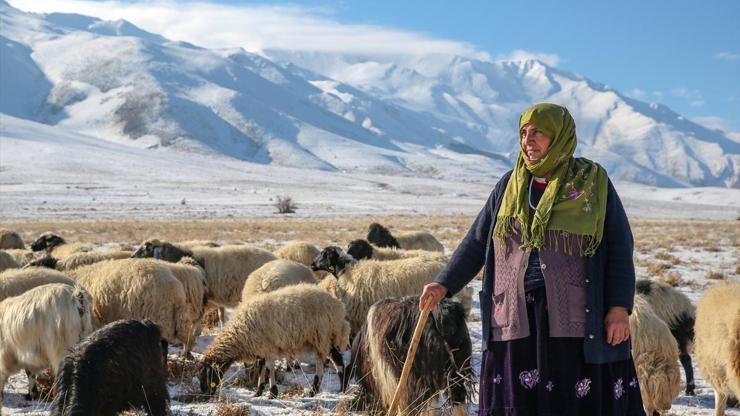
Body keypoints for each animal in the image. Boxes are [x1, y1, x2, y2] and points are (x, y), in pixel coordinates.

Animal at [198, 284, 352, 398]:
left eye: (206, 375)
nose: (206, 394)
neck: (238, 335)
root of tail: (339, 306)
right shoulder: (260, 347)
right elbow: (261, 367)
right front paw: (258, 391)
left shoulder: (268, 347)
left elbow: (268, 367)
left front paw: (272, 392)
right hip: (325, 337)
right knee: (336, 359)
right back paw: (341, 388)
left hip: (322, 335)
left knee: (325, 362)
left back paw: (315, 390)